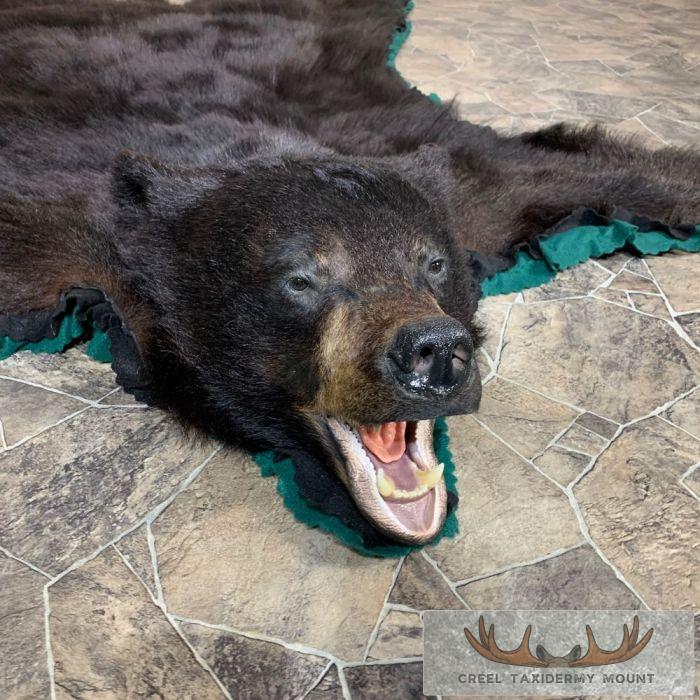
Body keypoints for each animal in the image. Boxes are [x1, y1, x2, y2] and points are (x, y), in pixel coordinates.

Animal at [0, 0, 698, 548]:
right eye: (301, 280)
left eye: (433, 263)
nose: (434, 350)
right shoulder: (54, 226)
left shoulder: (456, 179)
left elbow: (578, 171)